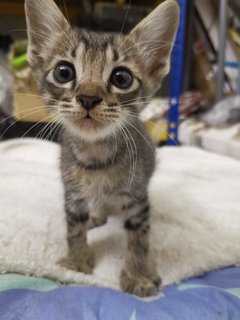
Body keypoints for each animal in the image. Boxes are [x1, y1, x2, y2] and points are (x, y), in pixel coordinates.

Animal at [25, 0, 179, 296]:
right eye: (64, 72)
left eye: (121, 78)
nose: (88, 97)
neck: (96, 159)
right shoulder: (72, 194)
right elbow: (74, 229)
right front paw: (76, 261)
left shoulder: (137, 200)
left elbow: (139, 239)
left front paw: (138, 275)